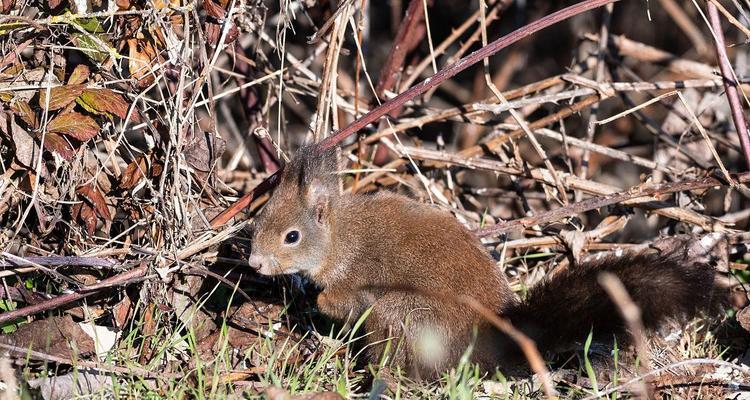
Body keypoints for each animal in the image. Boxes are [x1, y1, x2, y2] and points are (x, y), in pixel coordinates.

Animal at [248, 145, 724, 380]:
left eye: (292, 237)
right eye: (260, 218)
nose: (254, 263)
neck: (339, 238)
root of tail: (492, 340)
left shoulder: (355, 281)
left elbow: (338, 300)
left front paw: (315, 301)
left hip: (402, 314)